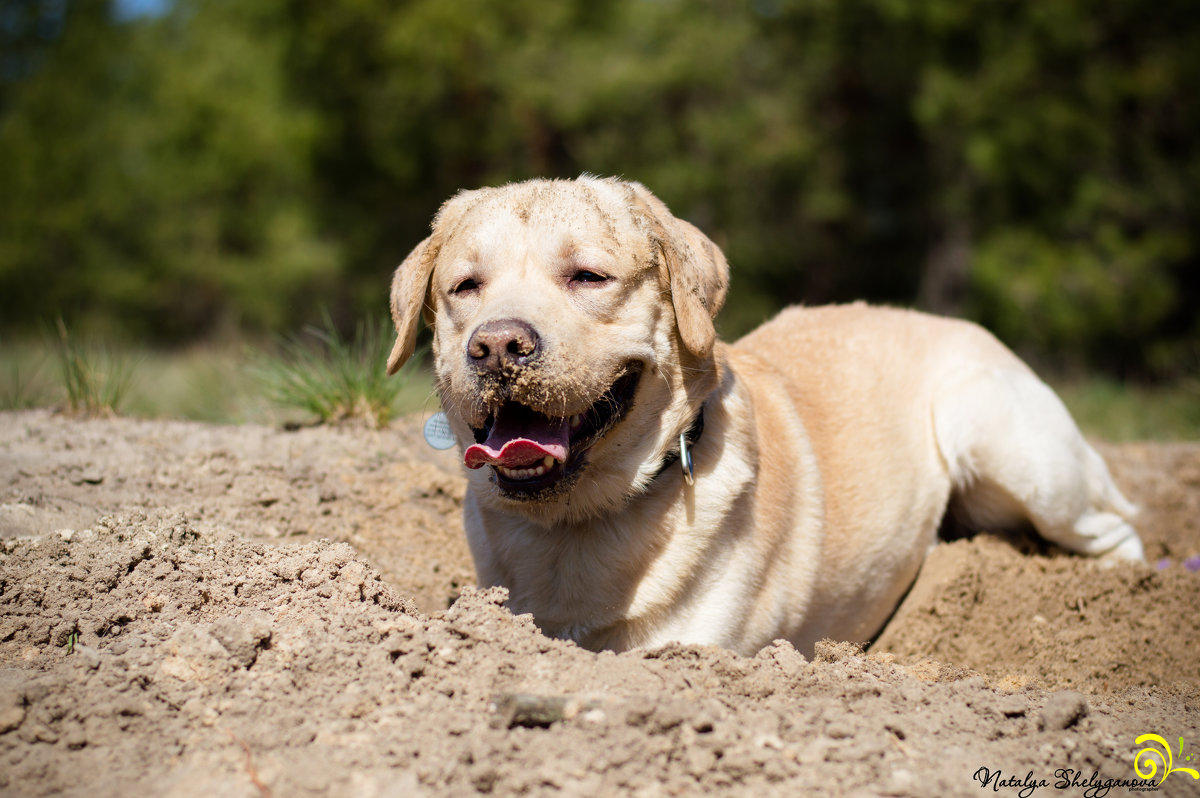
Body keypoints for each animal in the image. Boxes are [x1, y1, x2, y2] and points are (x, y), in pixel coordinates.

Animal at [386, 177, 1142, 657]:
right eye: (464, 288)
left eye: (590, 277)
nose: (497, 345)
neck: (573, 526)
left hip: (1002, 439)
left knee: (1118, 529)